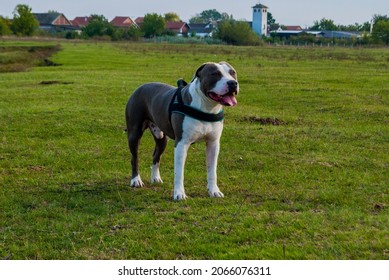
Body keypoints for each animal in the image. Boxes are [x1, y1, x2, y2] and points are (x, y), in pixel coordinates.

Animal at [126, 62, 238, 200]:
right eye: (215, 74)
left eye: (233, 73)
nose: (233, 83)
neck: (207, 107)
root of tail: (141, 87)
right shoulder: (181, 144)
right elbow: (179, 172)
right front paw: (179, 194)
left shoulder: (213, 143)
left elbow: (212, 170)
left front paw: (214, 191)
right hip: (134, 134)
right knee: (134, 158)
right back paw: (136, 180)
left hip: (161, 138)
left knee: (156, 156)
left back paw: (155, 178)